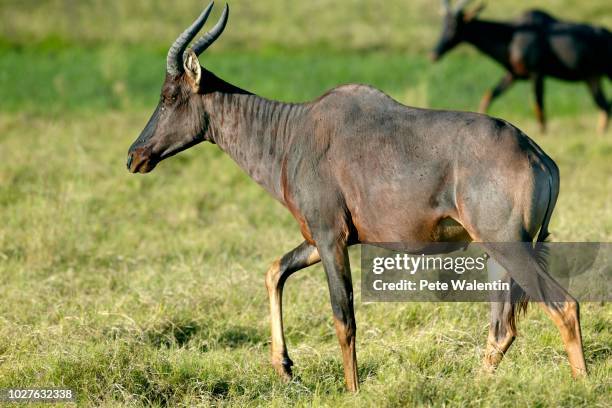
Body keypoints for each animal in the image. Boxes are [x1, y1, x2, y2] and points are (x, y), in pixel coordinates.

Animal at [125, 3, 588, 392]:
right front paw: (284, 367)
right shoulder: (321, 238)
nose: (135, 156)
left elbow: (343, 316)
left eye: (169, 95)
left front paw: (352, 390)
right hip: (496, 253)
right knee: (502, 326)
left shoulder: (331, 238)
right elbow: (275, 271)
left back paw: (582, 384)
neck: (296, 131)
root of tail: (539, 155)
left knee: (562, 305)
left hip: (509, 246)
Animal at [432, 0, 612, 133]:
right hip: (592, 78)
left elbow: (539, 107)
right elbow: (489, 95)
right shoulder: (513, 75)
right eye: (443, 23)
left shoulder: (536, 74)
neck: (513, 34)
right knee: (605, 106)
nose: (434, 53)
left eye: (455, 25)